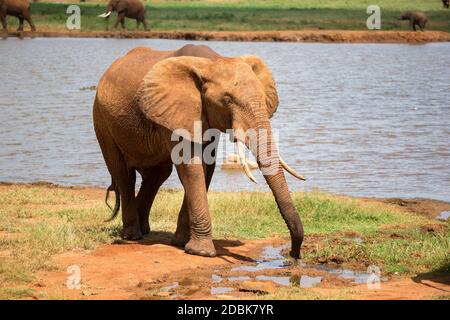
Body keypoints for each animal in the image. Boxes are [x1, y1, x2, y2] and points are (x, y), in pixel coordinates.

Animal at [94, 44, 306, 258]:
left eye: (263, 97)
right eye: (227, 100)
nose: (293, 254)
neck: (211, 62)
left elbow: (206, 167)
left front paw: (182, 243)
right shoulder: (179, 109)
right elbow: (191, 167)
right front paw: (202, 252)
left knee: (157, 175)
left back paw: (145, 230)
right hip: (102, 120)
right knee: (123, 174)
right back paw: (132, 235)